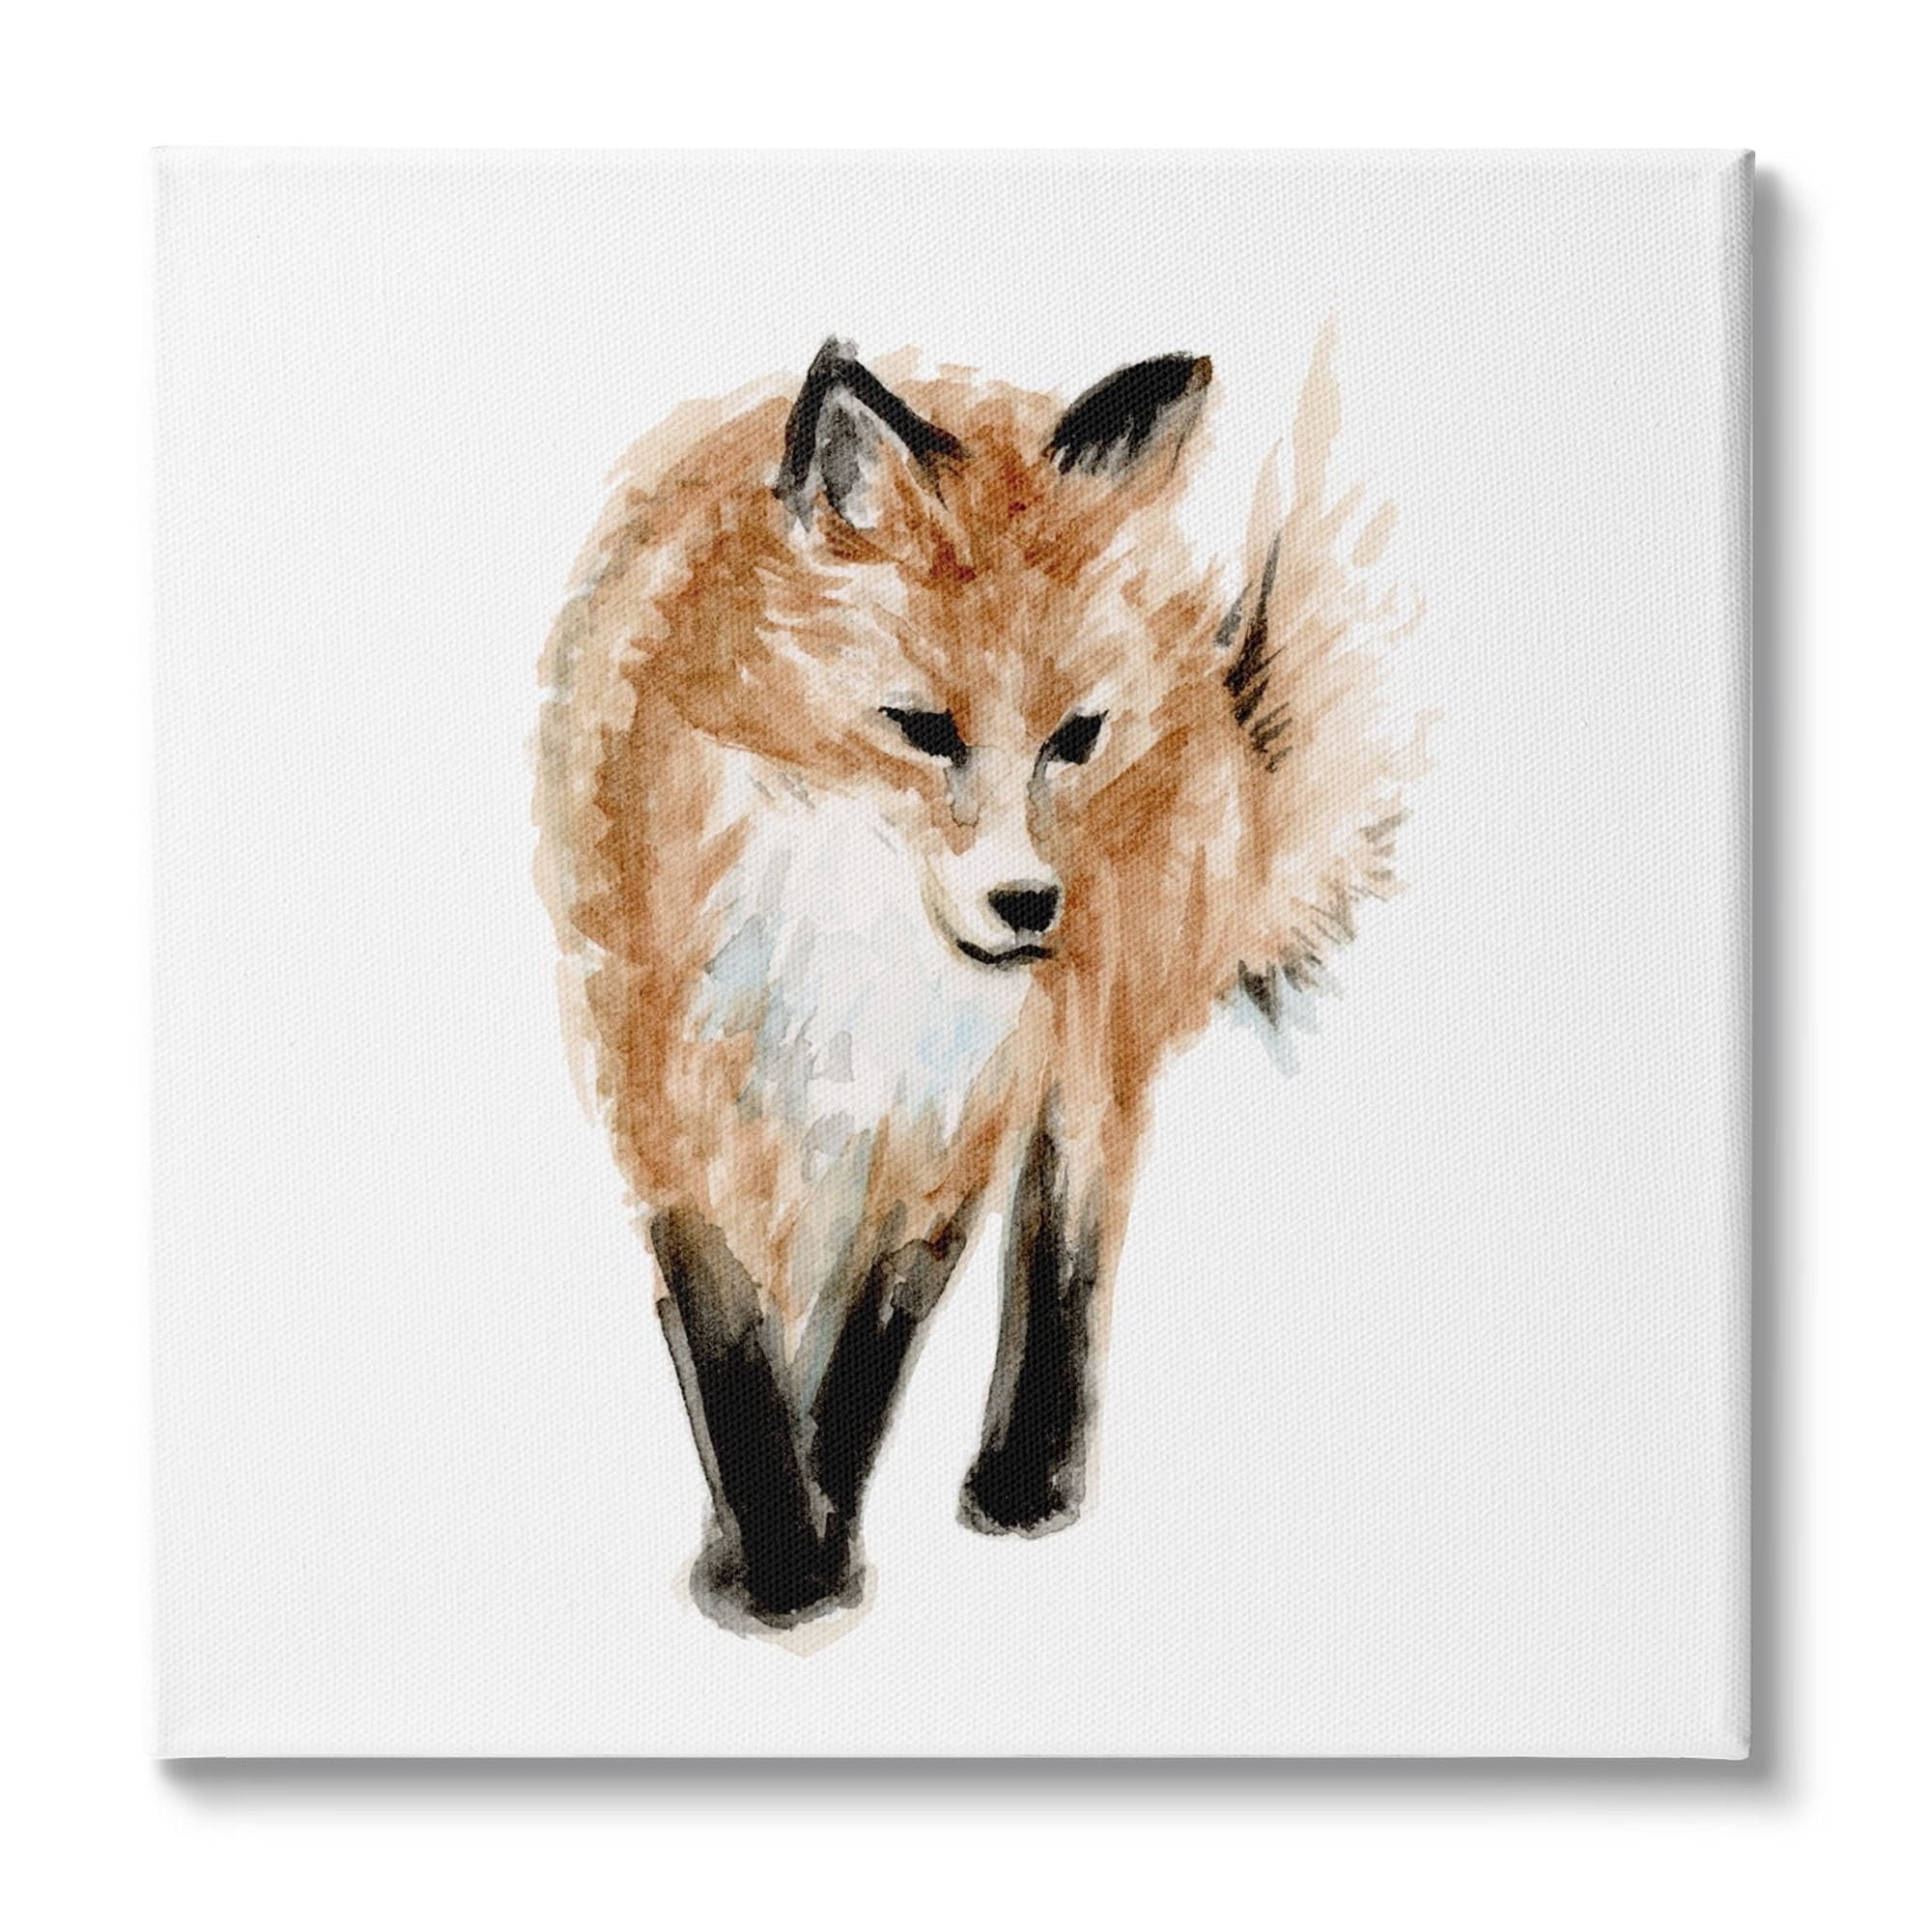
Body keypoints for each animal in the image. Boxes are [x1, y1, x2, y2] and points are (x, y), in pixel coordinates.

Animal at [534, 332, 1416, 1633]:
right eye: (921, 728)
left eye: (1073, 737)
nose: (1028, 906)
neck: (856, 944)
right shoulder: (666, 1094)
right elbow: (735, 1347)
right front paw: (775, 1556)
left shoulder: (952, 1121)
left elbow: (867, 1354)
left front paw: (815, 1548)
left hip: (1092, 1039)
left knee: (1069, 1227)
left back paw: (1027, 1469)